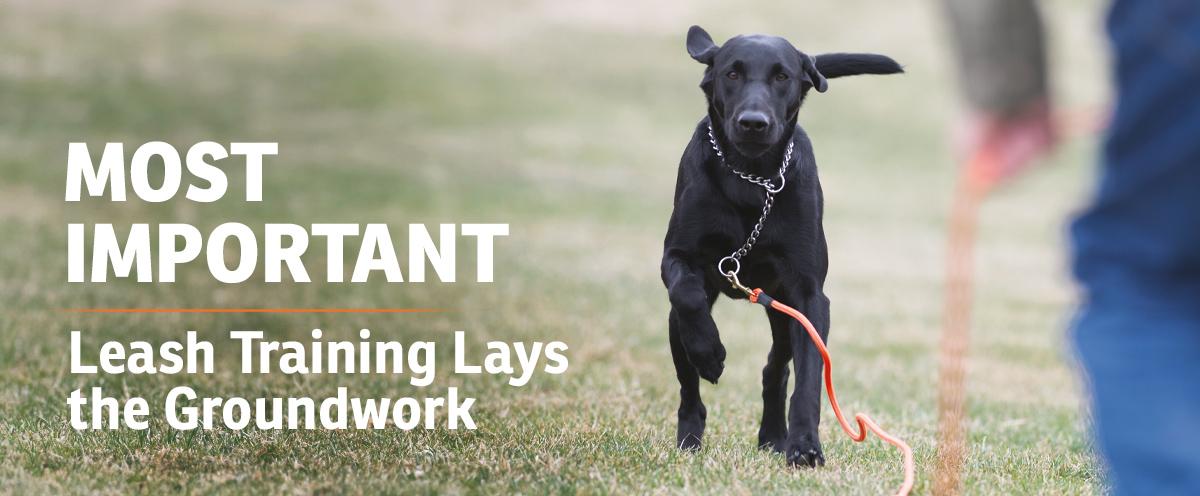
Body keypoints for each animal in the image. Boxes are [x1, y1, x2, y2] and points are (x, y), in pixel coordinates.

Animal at [662, 25, 902, 465]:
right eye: (732, 73)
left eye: (781, 76)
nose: (753, 123)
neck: (751, 178)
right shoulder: (677, 256)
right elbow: (687, 293)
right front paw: (710, 351)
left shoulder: (808, 296)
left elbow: (808, 382)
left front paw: (804, 447)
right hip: (680, 326)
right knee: (689, 385)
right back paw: (690, 436)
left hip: (783, 312)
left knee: (776, 369)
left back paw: (773, 436)